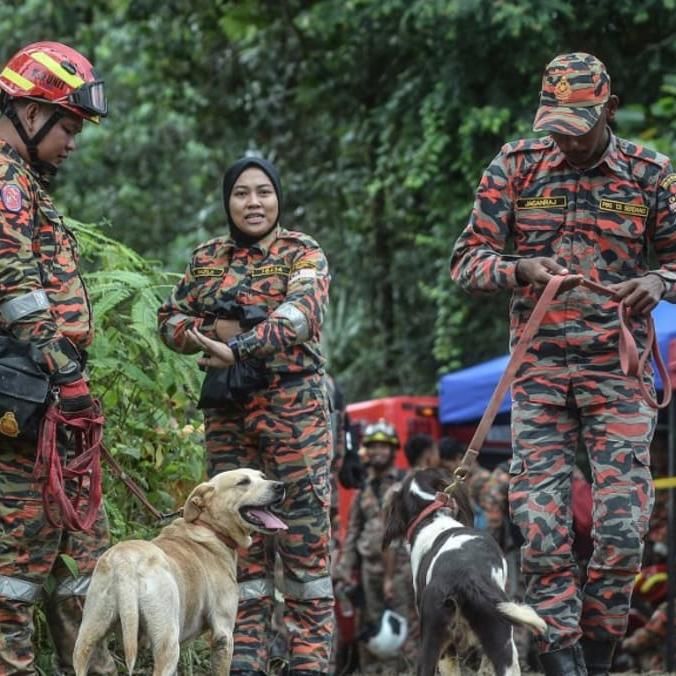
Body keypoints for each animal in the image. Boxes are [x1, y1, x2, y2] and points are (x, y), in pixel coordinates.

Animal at [73, 470, 286, 676]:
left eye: (263, 477)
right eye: (243, 482)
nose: (280, 486)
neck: (209, 527)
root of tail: (125, 561)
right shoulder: (223, 635)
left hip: (88, 636)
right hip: (167, 644)